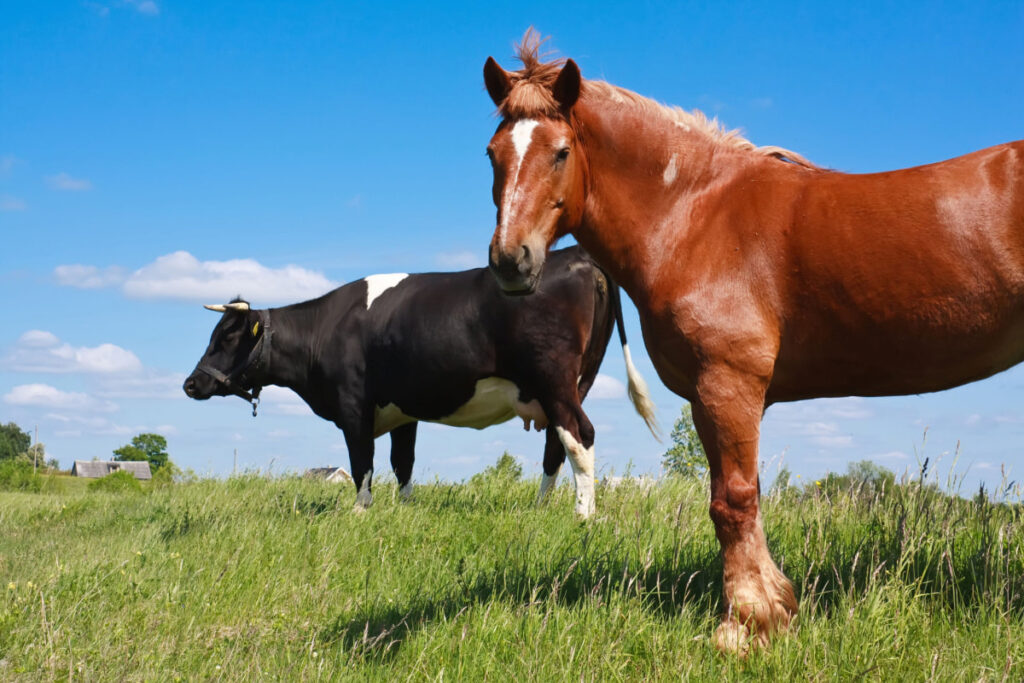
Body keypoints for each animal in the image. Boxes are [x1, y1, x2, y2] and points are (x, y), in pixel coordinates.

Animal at [183, 245, 655, 511]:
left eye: (226, 336)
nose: (190, 384)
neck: (325, 329)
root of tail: (579, 255)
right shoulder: (402, 411)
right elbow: (402, 463)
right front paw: (406, 509)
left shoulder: (353, 408)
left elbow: (363, 463)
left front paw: (361, 511)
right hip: (576, 382)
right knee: (557, 445)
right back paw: (540, 508)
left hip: (554, 379)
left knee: (580, 436)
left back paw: (583, 514)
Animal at [479, 34, 1024, 655]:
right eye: (493, 154)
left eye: (561, 152)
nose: (511, 260)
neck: (695, 214)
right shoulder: (712, 397)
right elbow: (745, 497)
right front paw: (777, 609)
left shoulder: (728, 383)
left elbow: (732, 501)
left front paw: (744, 625)